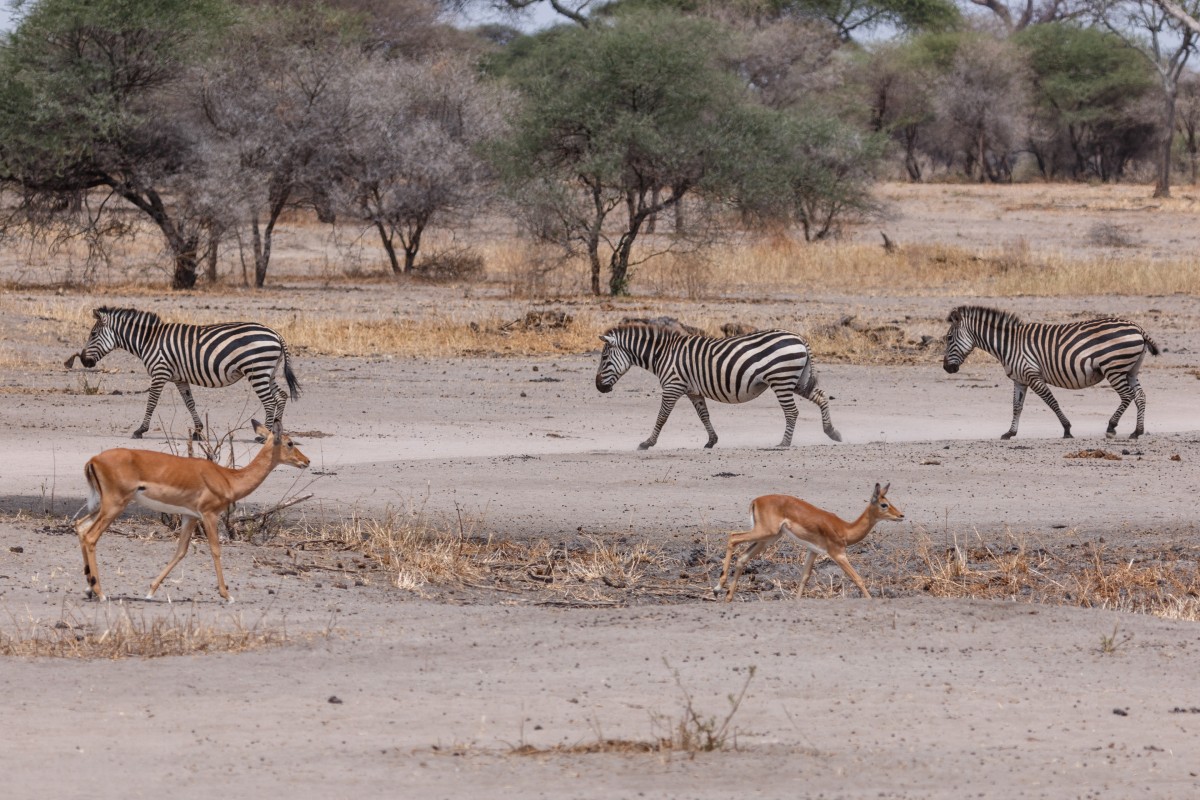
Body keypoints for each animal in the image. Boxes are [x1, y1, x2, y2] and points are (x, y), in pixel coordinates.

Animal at [68, 309, 300, 441]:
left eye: (93, 334)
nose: (84, 361)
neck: (148, 340)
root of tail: (275, 333)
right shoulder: (180, 378)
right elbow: (190, 403)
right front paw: (198, 431)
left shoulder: (160, 372)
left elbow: (151, 402)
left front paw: (140, 430)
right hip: (268, 372)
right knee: (281, 396)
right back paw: (276, 432)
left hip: (257, 370)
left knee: (270, 401)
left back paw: (264, 436)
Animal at [592, 323, 840, 450]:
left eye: (604, 358)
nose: (598, 388)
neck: (662, 354)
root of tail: (798, 337)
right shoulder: (693, 391)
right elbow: (704, 416)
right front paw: (712, 441)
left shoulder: (672, 386)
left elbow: (662, 417)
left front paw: (647, 442)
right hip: (797, 380)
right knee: (821, 396)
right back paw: (832, 432)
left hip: (781, 380)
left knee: (792, 411)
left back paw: (784, 443)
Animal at [940, 307, 1156, 441]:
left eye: (949, 338)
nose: (946, 368)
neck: (1008, 345)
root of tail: (1138, 327)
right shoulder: (1019, 380)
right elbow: (1017, 407)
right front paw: (1010, 433)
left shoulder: (1032, 375)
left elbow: (1051, 402)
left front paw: (1067, 429)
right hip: (1130, 370)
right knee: (1140, 396)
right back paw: (1137, 431)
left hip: (1114, 368)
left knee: (1127, 395)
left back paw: (1111, 427)